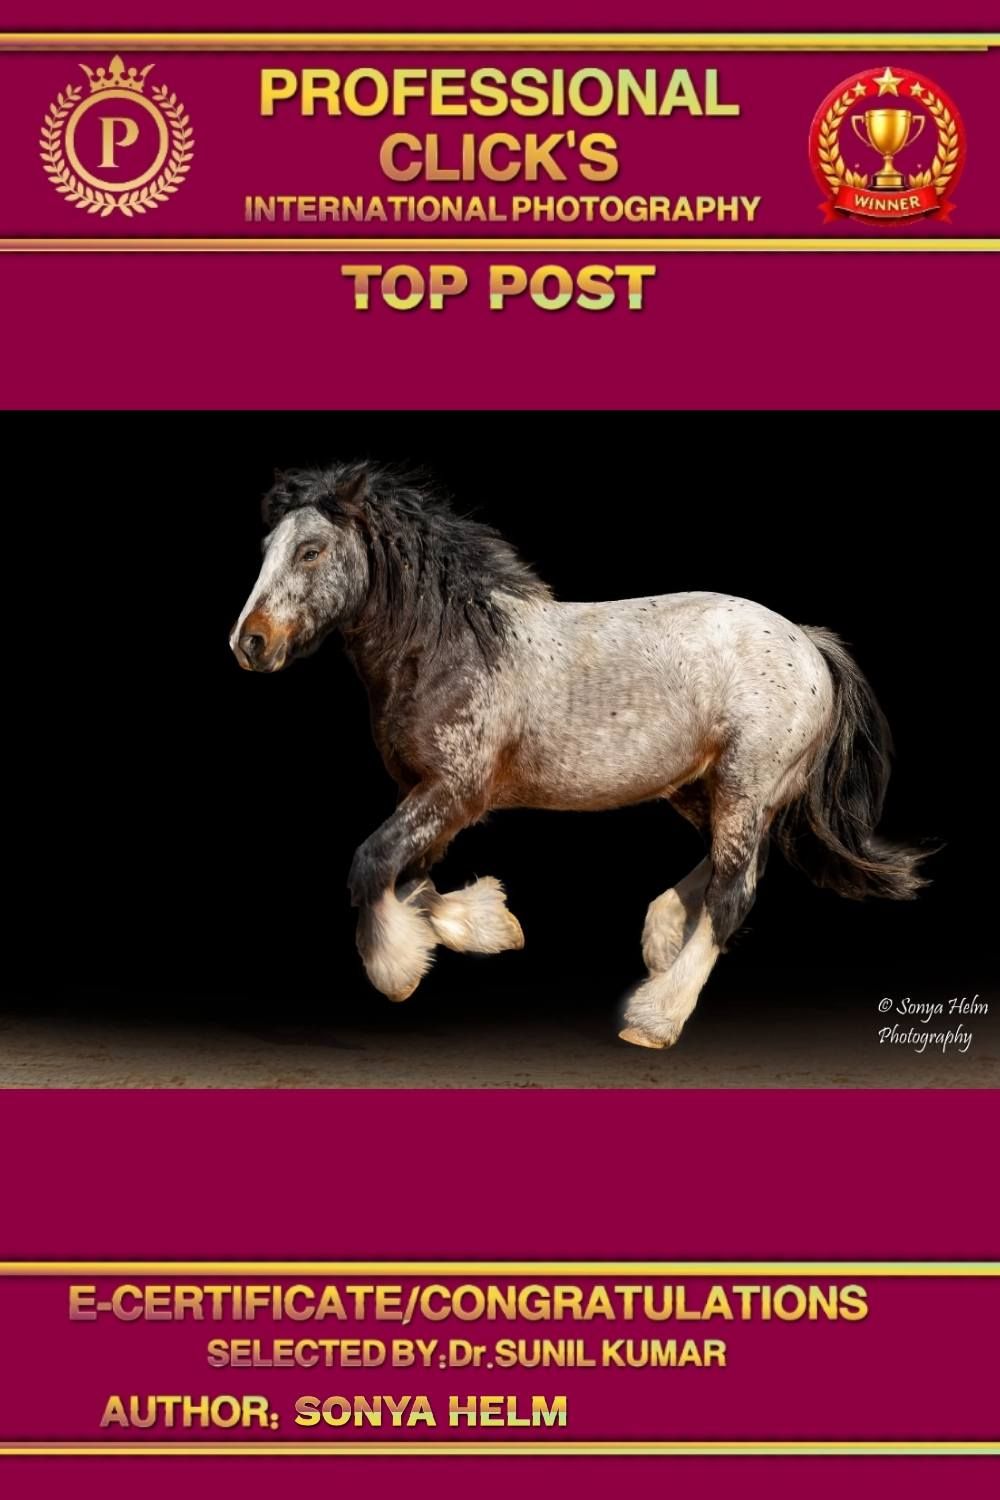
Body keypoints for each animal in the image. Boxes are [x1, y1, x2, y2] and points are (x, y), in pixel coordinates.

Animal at [230, 461, 926, 1049]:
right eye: (266, 551)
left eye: (311, 550)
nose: (249, 643)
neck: (451, 647)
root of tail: (808, 643)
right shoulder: (427, 796)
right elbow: (415, 883)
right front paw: (493, 927)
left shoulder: (455, 790)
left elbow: (373, 864)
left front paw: (397, 968)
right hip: (705, 791)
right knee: (734, 872)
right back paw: (661, 939)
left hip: (743, 785)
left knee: (733, 892)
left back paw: (654, 1018)